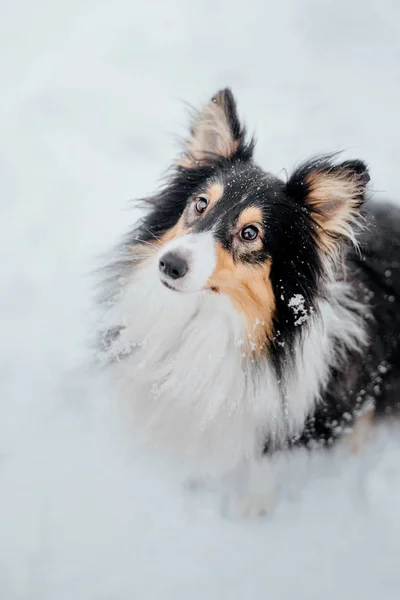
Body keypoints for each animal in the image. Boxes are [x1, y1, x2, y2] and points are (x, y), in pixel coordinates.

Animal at [97, 88, 400, 516]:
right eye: (200, 204)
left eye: (251, 233)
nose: (169, 265)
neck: (208, 318)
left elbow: (263, 468)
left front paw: (251, 514)